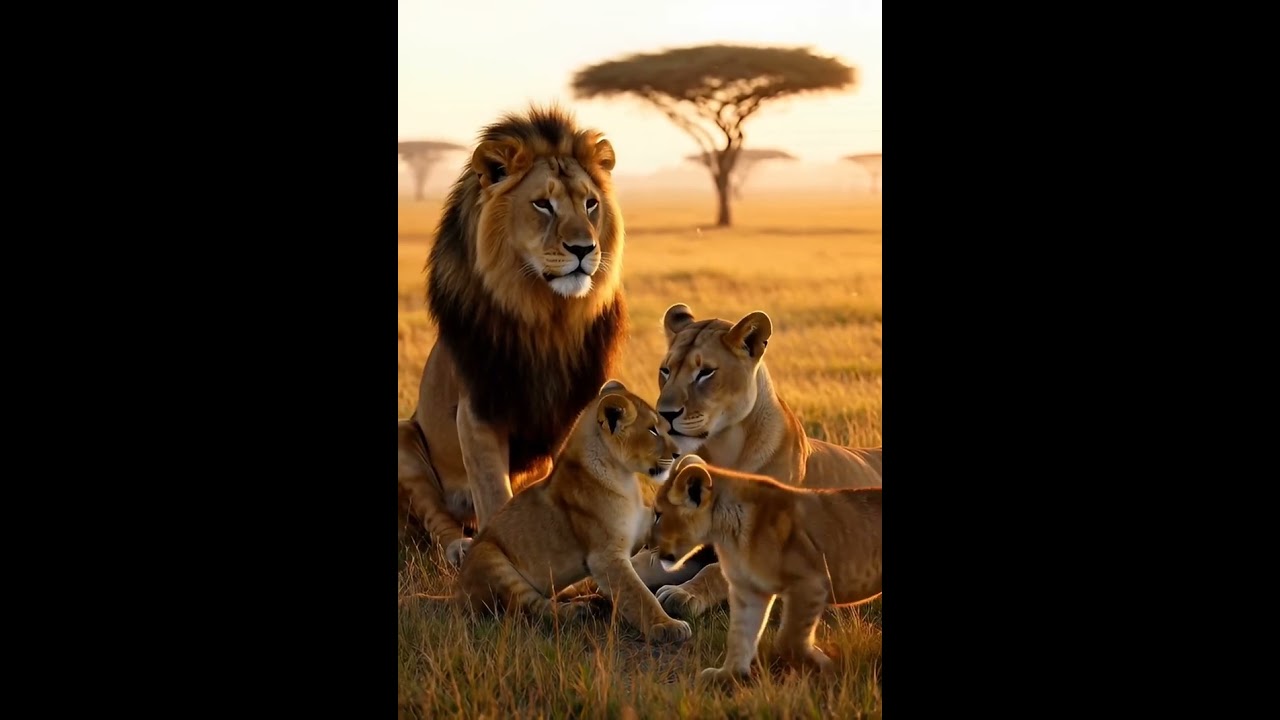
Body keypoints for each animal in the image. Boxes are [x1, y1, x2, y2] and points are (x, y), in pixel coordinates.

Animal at [397, 105, 628, 564]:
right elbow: (494, 496)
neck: (545, 317)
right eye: (543, 204)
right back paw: (460, 548)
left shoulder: (577, 409)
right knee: (438, 522)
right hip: (402, 438)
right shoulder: (477, 411)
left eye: (591, 204)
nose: (584, 249)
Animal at [427, 380, 692, 644]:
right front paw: (666, 626)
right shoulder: (605, 557)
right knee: (530, 608)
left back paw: (588, 601)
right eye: (652, 430)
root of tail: (457, 592)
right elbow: (638, 595)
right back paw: (579, 610)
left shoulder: (641, 525)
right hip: (491, 559)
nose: (679, 453)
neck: (623, 478)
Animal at [628, 303, 882, 618]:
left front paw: (682, 594)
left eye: (705, 372)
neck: (719, 451)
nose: (664, 414)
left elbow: (716, 572)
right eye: (665, 370)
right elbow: (639, 563)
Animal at [651, 455, 882, 683]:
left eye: (658, 514)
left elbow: (788, 641)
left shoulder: (810, 584)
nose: (647, 545)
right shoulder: (748, 591)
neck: (727, 533)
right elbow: (740, 636)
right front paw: (729, 675)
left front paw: (826, 668)